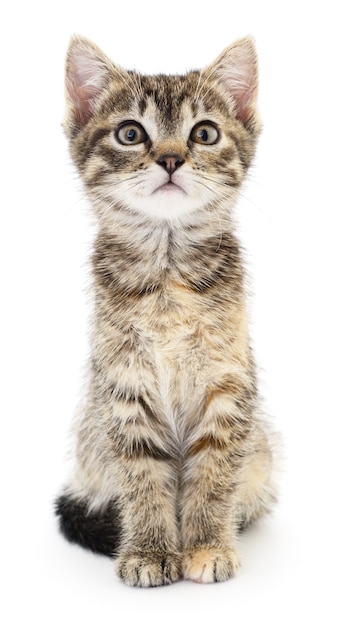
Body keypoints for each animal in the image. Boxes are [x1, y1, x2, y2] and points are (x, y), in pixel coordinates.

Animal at [55, 34, 276, 584]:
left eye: (205, 133)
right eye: (131, 133)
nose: (172, 159)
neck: (168, 275)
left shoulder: (228, 383)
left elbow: (215, 473)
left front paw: (207, 545)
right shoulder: (124, 386)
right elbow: (142, 477)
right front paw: (150, 551)